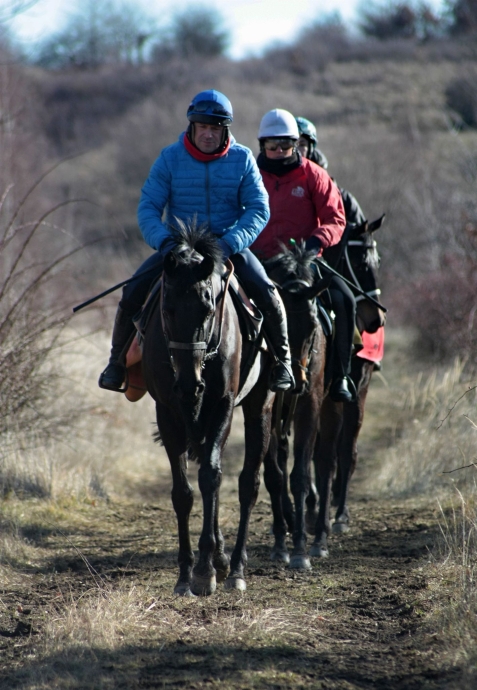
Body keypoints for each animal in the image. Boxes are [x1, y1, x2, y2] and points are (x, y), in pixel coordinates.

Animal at [140, 223, 276, 592]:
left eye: (209, 307)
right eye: (167, 308)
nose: (189, 384)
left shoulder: (222, 406)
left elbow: (211, 477)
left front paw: (204, 570)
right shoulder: (169, 413)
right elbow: (183, 492)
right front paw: (187, 573)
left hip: (258, 410)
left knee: (247, 485)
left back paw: (237, 568)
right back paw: (222, 557)